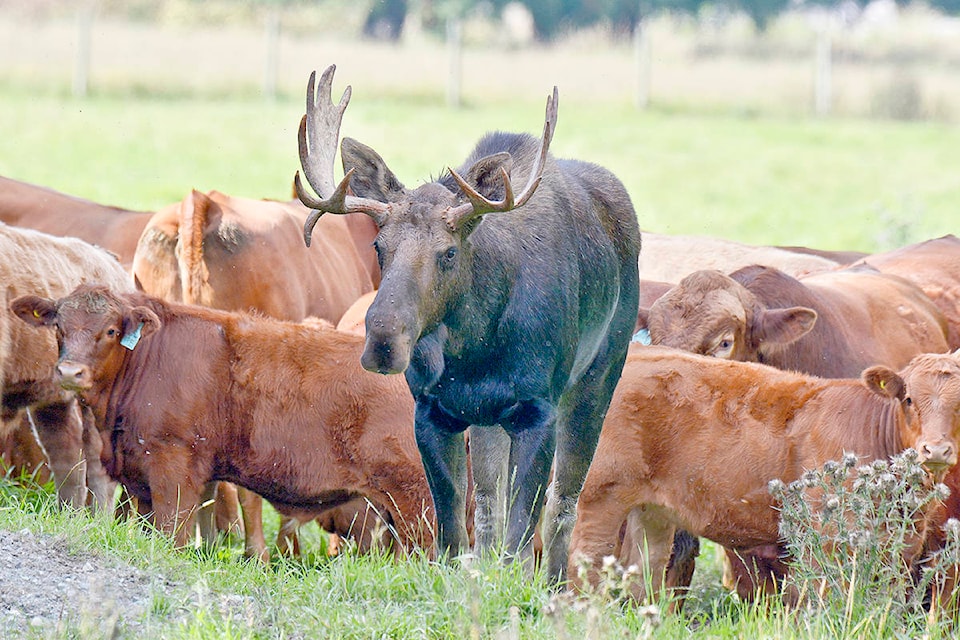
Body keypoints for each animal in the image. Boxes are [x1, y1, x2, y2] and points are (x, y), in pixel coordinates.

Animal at [292, 65, 636, 580]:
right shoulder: (435, 410)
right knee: (491, 503)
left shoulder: (539, 409)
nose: (383, 340)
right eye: (379, 245)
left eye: (449, 252)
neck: (475, 347)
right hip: (489, 419)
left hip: (598, 377)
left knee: (563, 504)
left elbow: (523, 531)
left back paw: (558, 585)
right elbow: (453, 528)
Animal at [568, 344, 960, 604]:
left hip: (652, 511)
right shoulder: (826, 536)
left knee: (642, 571)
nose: (936, 450)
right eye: (908, 399)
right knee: (584, 563)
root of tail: (635, 352)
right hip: (601, 493)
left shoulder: (902, 543)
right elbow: (821, 594)